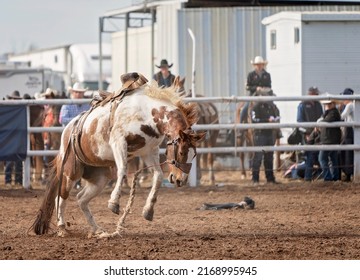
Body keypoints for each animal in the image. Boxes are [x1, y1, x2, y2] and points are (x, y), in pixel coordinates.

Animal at [33, 72, 205, 236]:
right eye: (182, 151)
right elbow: (122, 170)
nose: (180, 179)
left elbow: (157, 176)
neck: (146, 111)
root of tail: (68, 130)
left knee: (81, 199)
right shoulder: (118, 141)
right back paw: (62, 227)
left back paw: (97, 229)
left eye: (194, 155)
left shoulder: (149, 151)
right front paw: (114, 203)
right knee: (61, 197)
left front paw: (148, 210)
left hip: (100, 178)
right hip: (70, 172)